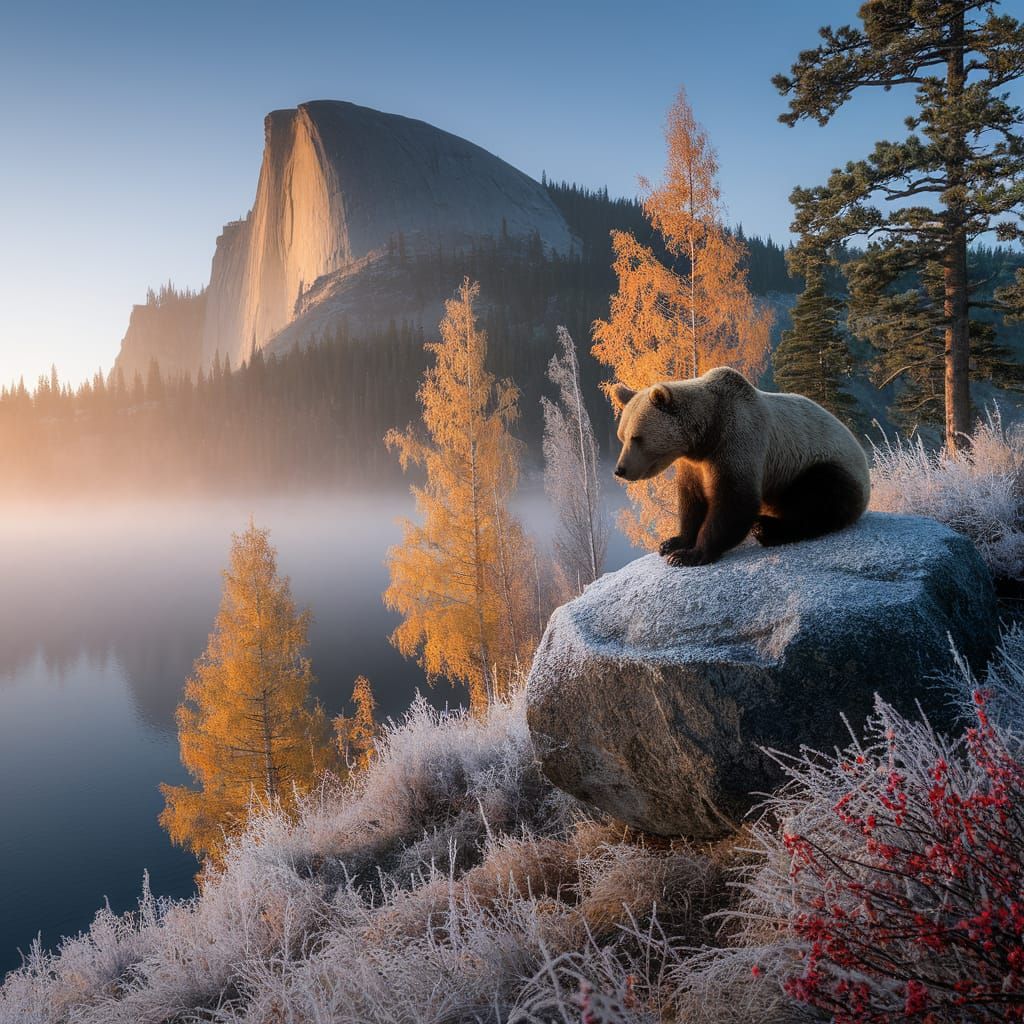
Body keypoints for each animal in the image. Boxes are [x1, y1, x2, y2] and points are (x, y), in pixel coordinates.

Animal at [612, 366, 870, 566]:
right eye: (621, 436)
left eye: (637, 438)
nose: (620, 470)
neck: (707, 433)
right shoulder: (694, 464)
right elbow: (692, 500)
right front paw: (672, 542)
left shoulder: (738, 440)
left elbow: (734, 502)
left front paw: (689, 555)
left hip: (817, 464)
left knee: (820, 498)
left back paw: (766, 528)